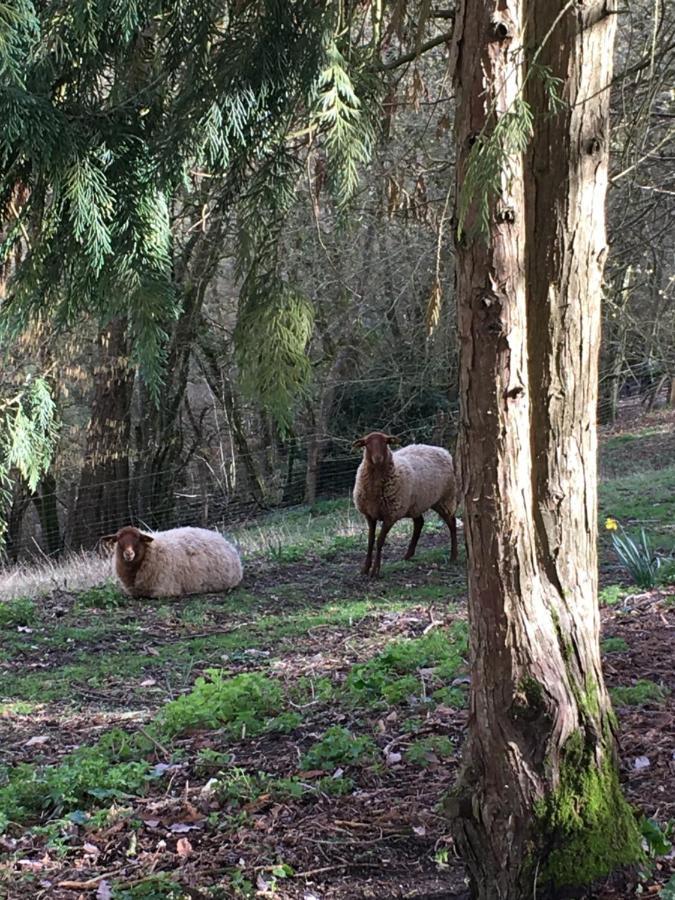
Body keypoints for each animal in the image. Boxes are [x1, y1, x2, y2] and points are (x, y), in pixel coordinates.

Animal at [354, 430, 460, 576]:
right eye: (367, 444)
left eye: (385, 442)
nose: (378, 458)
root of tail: (442, 450)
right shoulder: (370, 515)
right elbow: (370, 541)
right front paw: (365, 568)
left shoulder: (390, 516)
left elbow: (380, 541)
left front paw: (375, 570)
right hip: (416, 504)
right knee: (419, 523)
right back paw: (408, 555)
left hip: (445, 498)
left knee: (452, 523)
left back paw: (453, 556)